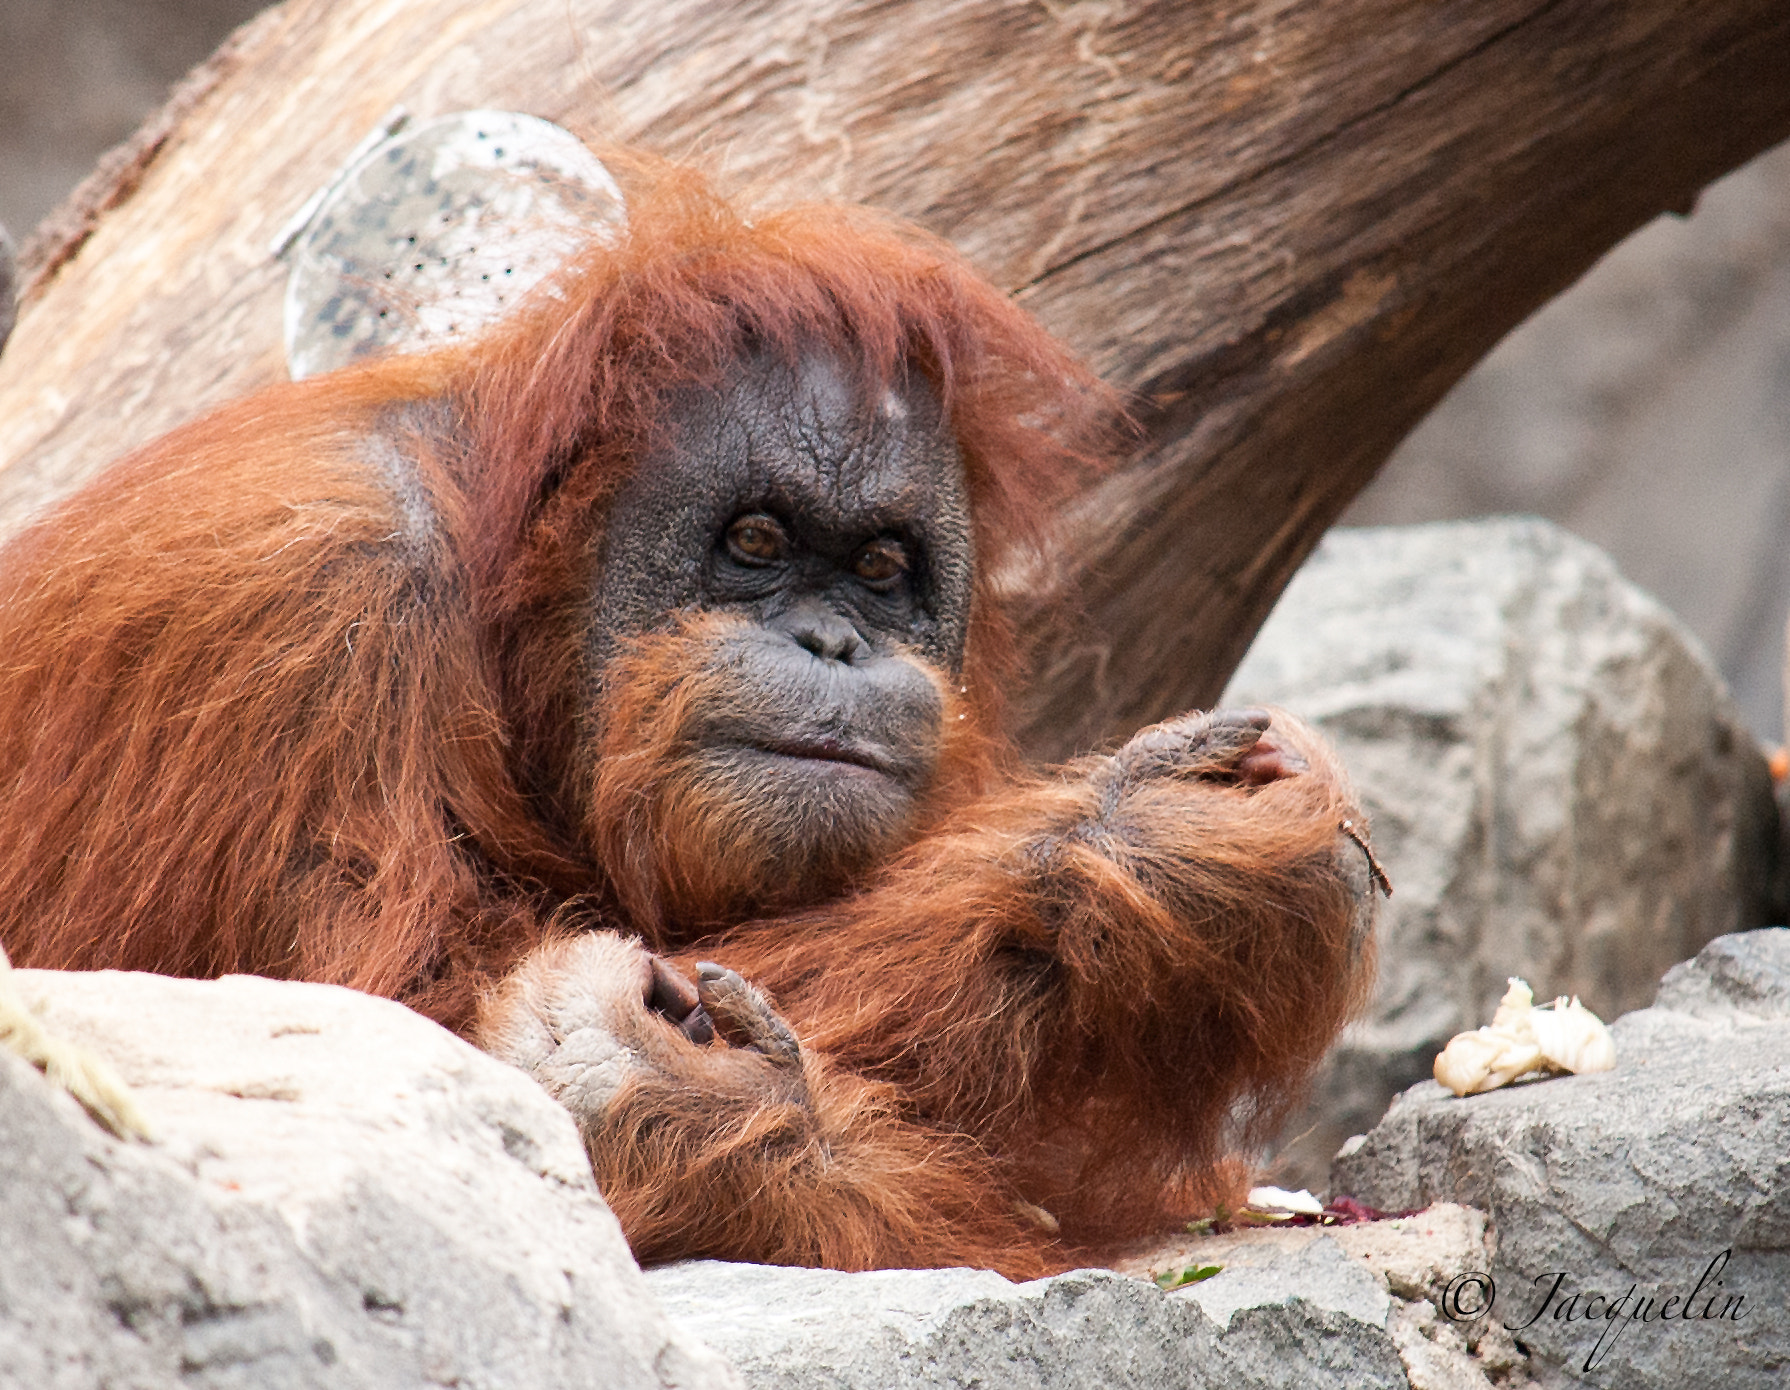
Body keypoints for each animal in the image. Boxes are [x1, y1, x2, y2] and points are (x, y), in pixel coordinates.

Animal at [0, 151, 1375, 1277]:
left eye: (879, 567)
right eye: (754, 541)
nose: (832, 640)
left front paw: (1164, 862)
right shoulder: (301, 608)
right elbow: (379, 1033)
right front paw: (691, 1093)